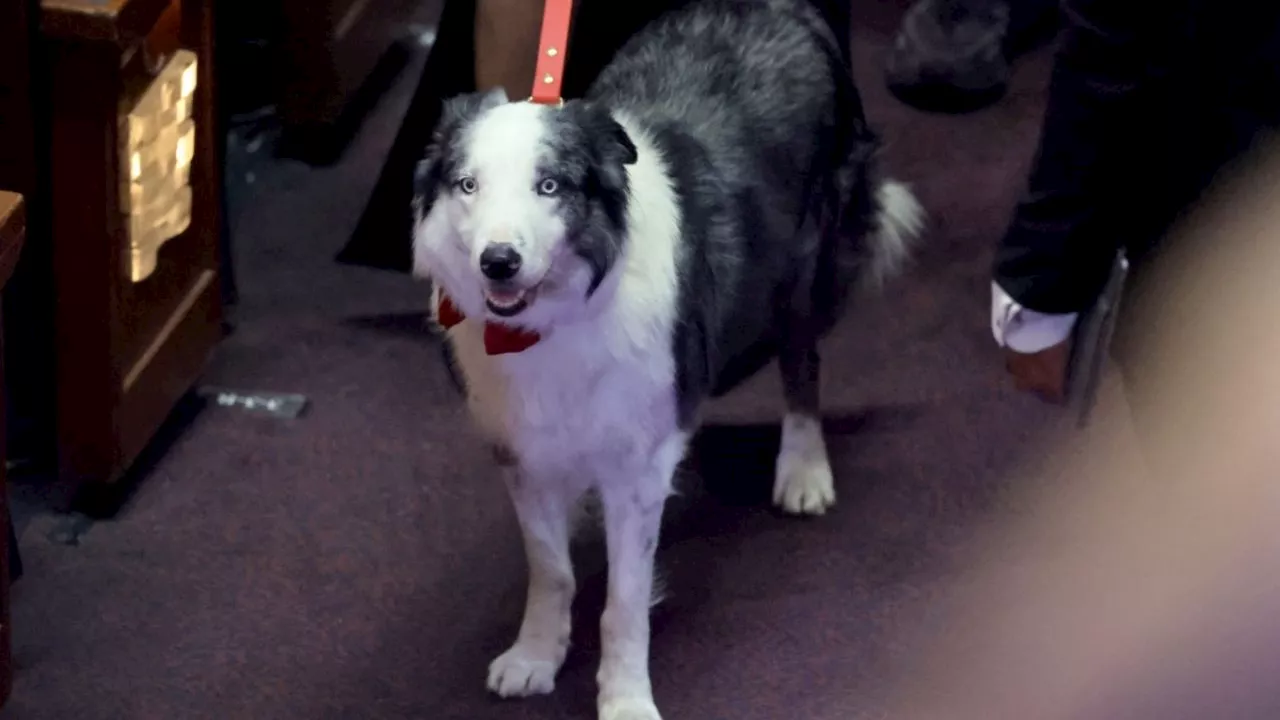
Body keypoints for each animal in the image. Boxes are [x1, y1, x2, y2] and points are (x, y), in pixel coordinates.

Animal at [409, 0, 921, 712]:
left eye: (549, 185)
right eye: (467, 185)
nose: (499, 262)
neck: (556, 319)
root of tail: (779, 6)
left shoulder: (635, 468)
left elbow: (623, 605)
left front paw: (624, 700)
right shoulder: (523, 453)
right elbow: (551, 571)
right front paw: (536, 657)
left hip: (802, 263)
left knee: (802, 364)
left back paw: (803, 469)